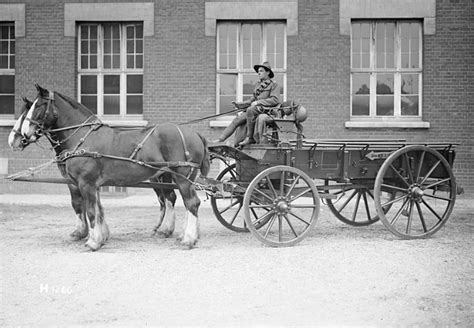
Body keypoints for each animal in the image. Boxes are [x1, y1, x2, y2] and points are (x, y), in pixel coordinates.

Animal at [14, 84, 209, 251]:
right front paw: (101, 237)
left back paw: (188, 239)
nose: (22, 135)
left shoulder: (86, 183)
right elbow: (98, 209)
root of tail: (194, 133)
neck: (83, 138)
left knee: (191, 203)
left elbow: (91, 211)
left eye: (39, 106)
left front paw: (93, 241)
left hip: (183, 177)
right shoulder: (93, 184)